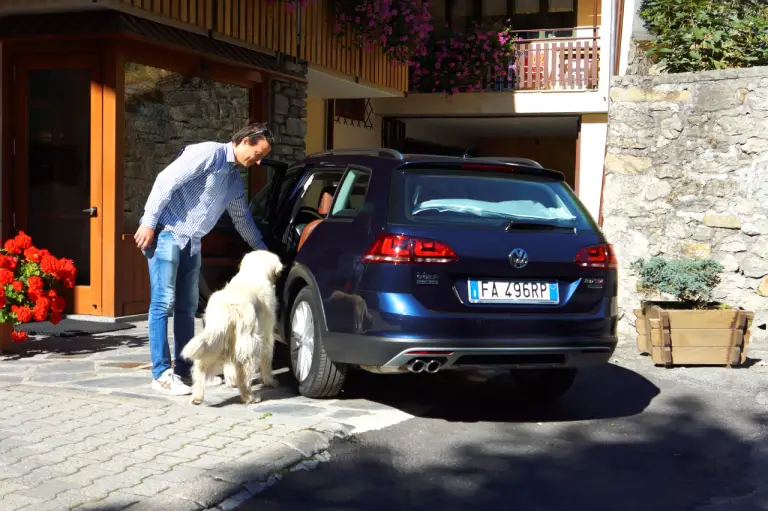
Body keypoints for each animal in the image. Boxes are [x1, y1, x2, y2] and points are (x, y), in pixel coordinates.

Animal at [182, 250, 284, 406]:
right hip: (249, 343)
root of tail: (228, 306)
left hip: (215, 339)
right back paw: (250, 397)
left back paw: (197, 397)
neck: (252, 272)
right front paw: (270, 381)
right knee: (244, 372)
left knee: (201, 366)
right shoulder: (266, 334)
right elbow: (267, 359)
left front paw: (231, 382)